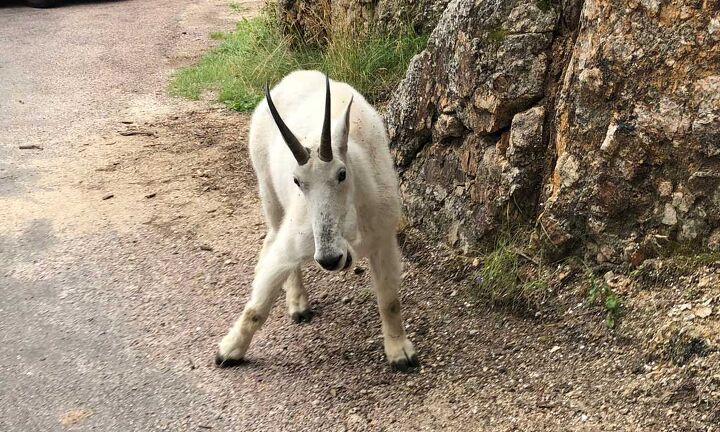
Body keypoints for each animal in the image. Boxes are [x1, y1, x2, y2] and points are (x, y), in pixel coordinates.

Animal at [214, 71, 420, 372]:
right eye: (297, 181)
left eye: (341, 174)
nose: (330, 259)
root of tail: (292, 78)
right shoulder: (297, 237)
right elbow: (258, 304)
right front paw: (228, 351)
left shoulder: (383, 238)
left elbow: (389, 301)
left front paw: (400, 353)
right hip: (269, 193)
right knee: (272, 239)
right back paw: (298, 304)